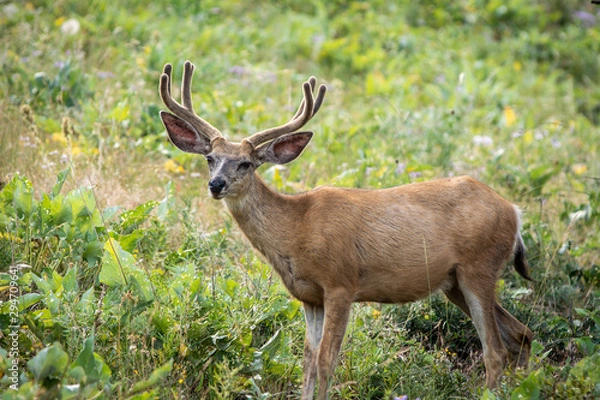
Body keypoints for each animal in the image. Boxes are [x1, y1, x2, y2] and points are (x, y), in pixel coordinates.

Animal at [157, 61, 532, 398]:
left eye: (246, 164)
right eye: (210, 159)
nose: (216, 184)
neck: (297, 228)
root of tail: (514, 211)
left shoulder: (341, 283)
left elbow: (326, 360)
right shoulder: (309, 296)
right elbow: (307, 361)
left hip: (478, 267)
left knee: (495, 350)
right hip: (453, 283)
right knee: (521, 334)